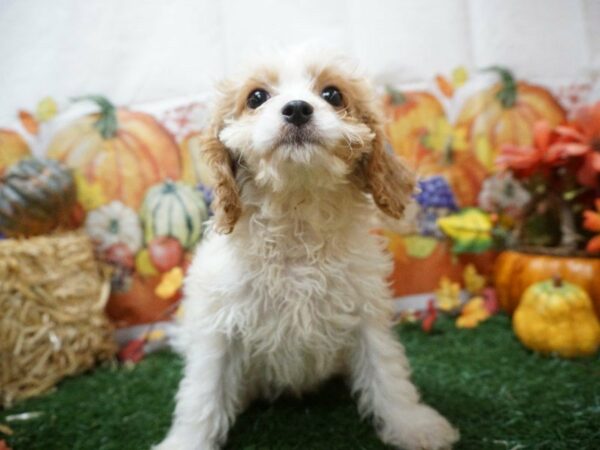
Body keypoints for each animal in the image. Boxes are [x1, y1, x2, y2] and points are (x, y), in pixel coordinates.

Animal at [156, 47, 460, 448]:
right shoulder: (217, 327)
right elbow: (203, 394)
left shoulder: (365, 312)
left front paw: (412, 424)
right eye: (256, 97)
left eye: (333, 94)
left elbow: (387, 372)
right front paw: (187, 440)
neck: (297, 214)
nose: (298, 108)